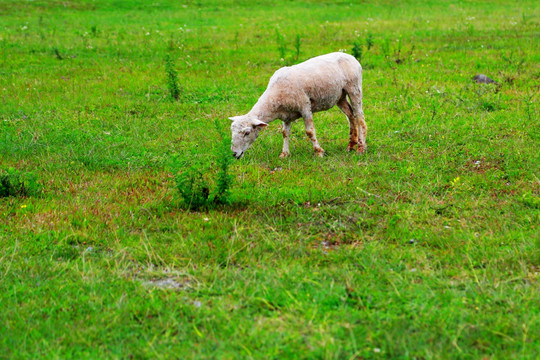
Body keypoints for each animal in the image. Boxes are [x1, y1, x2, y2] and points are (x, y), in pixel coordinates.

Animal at [230, 51, 364, 158]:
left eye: (247, 133)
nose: (234, 154)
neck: (275, 95)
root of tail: (350, 56)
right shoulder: (286, 115)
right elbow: (285, 133)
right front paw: (284, 154)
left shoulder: (305, 107)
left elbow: (310, 131)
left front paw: (318, 152)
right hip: (340, 96)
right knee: (351, 115)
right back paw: (351, 145)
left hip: (354, 88)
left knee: (359, 116)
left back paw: (360, 148)